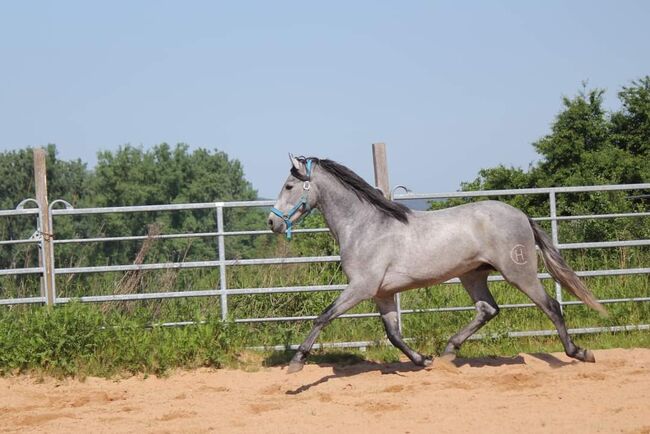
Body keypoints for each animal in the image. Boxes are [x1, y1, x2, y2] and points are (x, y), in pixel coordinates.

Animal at [268, 155, 604, 372]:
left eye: (288, 186)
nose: (272, 222)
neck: (365, 226)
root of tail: (522, 215)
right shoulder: (382, 293)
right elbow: (393, 334)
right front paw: (423, 360)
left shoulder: (361, 287)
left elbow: (323, 317)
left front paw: (297, 362)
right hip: (473, 276)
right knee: (488, 309)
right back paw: (448, 351)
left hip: (518, 273)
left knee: (551, 306)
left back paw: (579, 352)